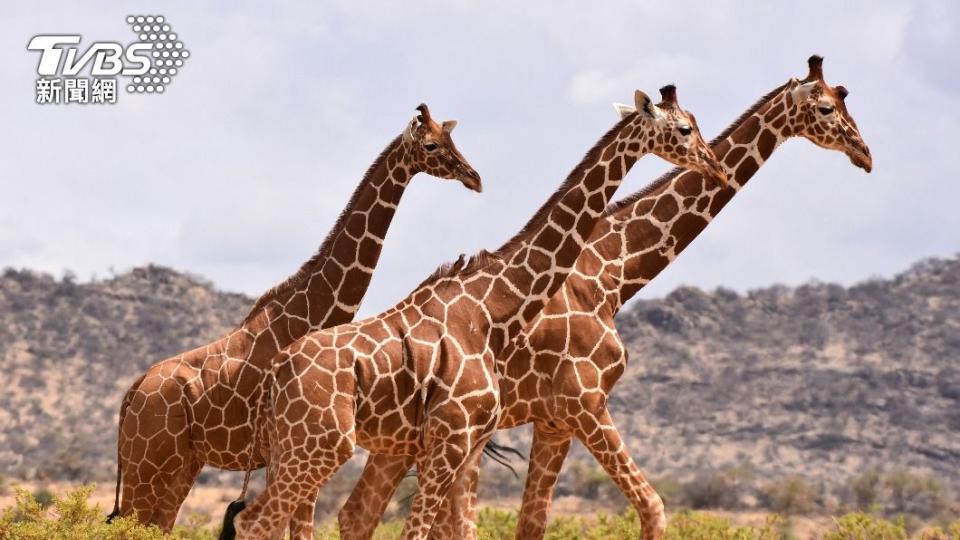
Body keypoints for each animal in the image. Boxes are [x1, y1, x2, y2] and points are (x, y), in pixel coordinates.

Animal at [107, 104, 480, 532]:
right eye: (432, 144)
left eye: (453, 139)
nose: (474, 177)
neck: (317, 311)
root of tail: (132, 394)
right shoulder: (289, 450)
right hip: (147, 464)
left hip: (182, 464)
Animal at [231, 86, 728, 536]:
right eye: (683, 129)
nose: (715, 165)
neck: (493, 310)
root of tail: (276, 374)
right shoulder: (453, 438)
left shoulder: (464, 442)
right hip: (323, 447)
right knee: (257, 523)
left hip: (296, 450)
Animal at [342, 56, 872, 540]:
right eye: (826, 107)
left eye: (846, 99)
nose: (865, 153)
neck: (612, 275)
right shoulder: (585, 403)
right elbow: (653, 507)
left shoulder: (554, 421)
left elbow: (533, 524)